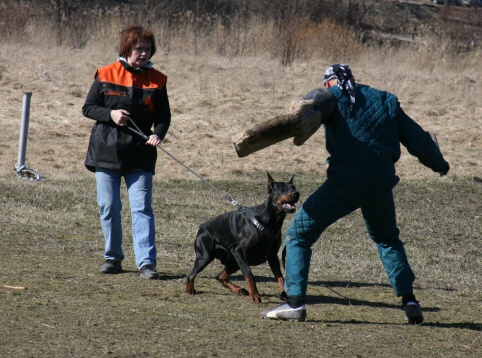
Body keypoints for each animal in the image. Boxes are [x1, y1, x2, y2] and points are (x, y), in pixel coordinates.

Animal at [185, 172, 298, 304]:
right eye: (281, 188)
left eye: (294, 187)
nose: (297, 194)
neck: (268, 220)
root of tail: (202, 226)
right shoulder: (239, 251)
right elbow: (249, 275)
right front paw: (255, 296)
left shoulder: (272, 256)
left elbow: (280, 278)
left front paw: (285, 295)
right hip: (206, 256)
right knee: (191, 274)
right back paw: (190, 289)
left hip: (233, 261)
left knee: (219, 276)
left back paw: (239, 289)